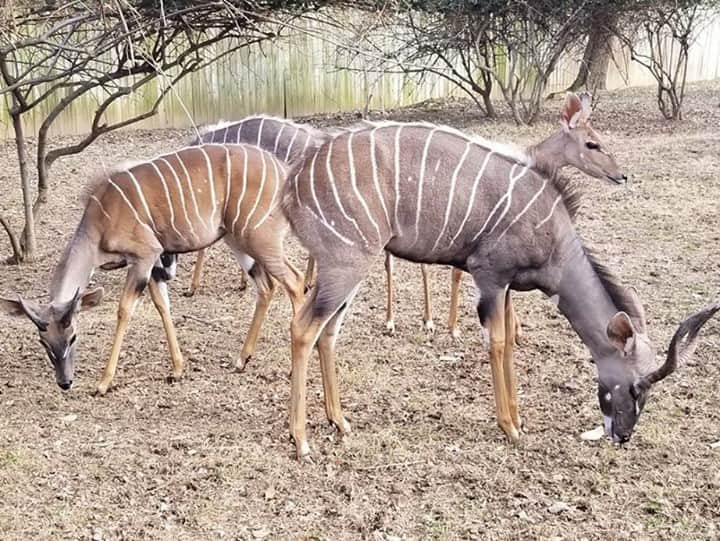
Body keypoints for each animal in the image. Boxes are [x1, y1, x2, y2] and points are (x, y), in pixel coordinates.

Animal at [0, 141, 304, 390]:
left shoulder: (144, 256)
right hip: (237, 239)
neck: (99, 222)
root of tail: (282, 171)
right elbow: (162, 306)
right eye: (43, 341)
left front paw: (103, 382)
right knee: (267, 286)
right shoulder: (155, 264)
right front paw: (177, 369)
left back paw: (292, 369)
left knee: (296, 281)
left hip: (258, 237)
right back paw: (241, 359)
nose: (64, 382)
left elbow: (124, 310)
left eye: (73, 336)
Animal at [278, 98, 712, 460]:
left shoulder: (506, 287)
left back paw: (339, 421)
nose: (622, 435)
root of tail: (292, 186)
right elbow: (499, 343)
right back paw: (301, 440)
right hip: (346, 263)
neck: (554, 237)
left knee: (328, 332)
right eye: (636, 387)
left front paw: (518, 420)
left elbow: (509, 348)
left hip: (346, 270)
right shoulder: (489, 276)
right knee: (303, 327)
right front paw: (509, 427)